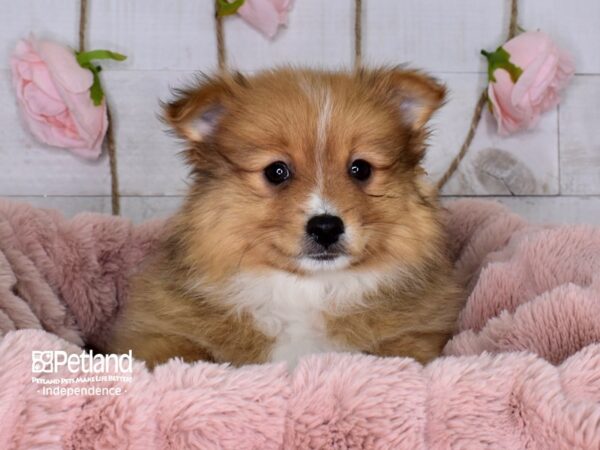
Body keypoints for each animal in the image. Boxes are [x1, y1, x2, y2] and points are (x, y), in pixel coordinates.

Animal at [106, 67, 464, 370]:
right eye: (276, 171)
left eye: (361, 169)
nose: (326, 227)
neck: (306, 291)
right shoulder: (156, 331)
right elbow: (179, 356)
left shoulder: (420, 335)